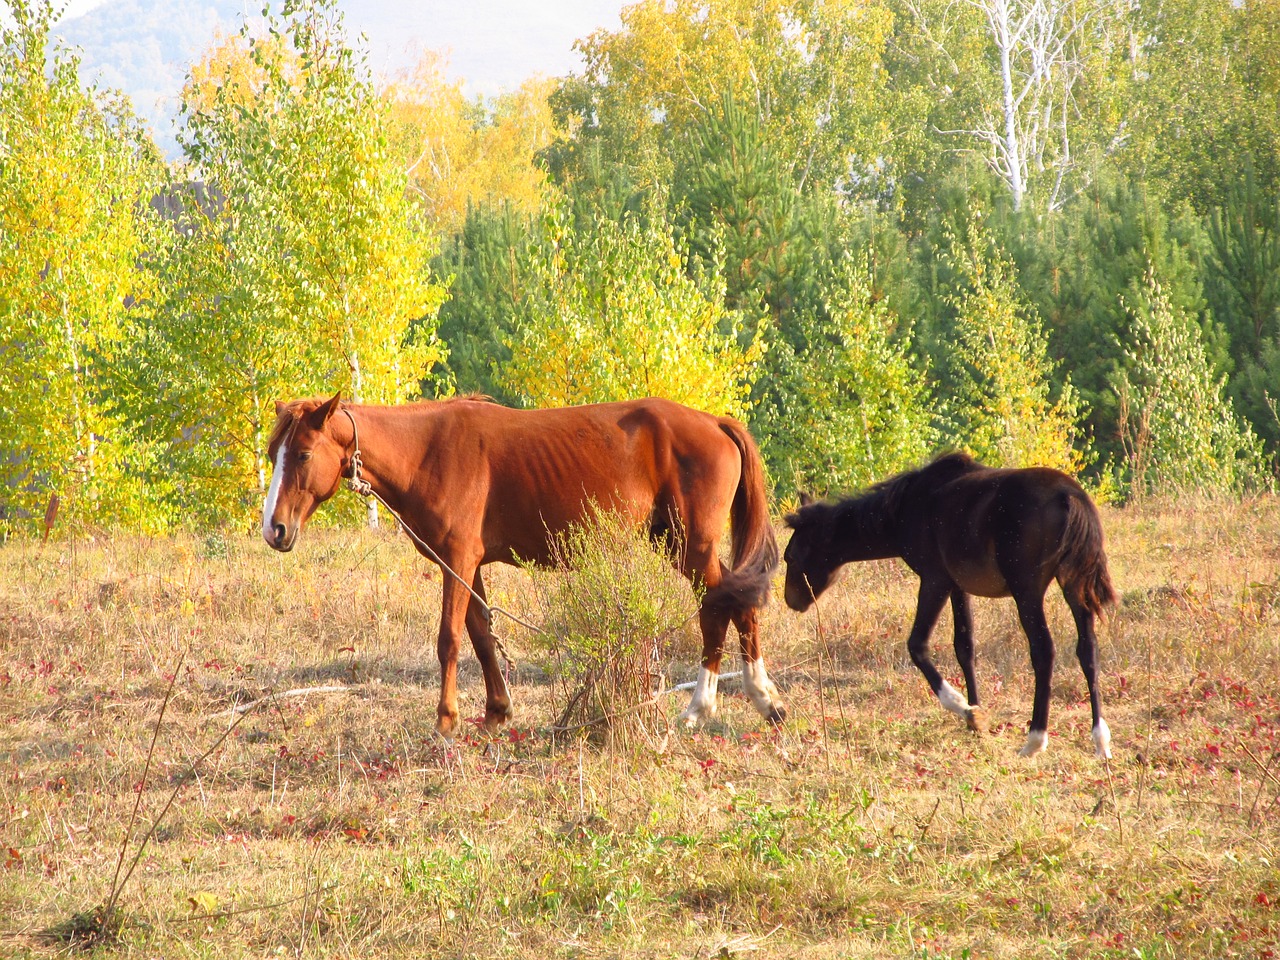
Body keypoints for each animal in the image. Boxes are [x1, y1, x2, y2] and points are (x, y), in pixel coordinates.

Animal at [262, 394, 778, 742]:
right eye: (272, 454)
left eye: (302, 454)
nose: (274, 529)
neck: (427, 451)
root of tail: (714, 422)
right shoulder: (467, 567)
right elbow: (480, 635)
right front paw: (496, 712)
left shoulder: (457, 559)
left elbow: (449, 640)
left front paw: (445, 721)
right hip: (674, 544)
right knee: (733, 603)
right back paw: (757, 700)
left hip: (693, 547)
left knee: (723, 605)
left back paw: (710, 705)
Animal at [778, 455, 1111, 762]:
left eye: (791, 556)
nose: (791, 600)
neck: (906, 506)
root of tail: (1070, 497)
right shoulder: (958, 586)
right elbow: (965, 647)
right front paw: (977, 718)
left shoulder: (934, 580)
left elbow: (918, 645)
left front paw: (963, 707)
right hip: (1075, 588)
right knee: (1088, 651)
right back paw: (1100, 740)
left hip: (1027, 592)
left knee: (1043, 651)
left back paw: (1035, 739)